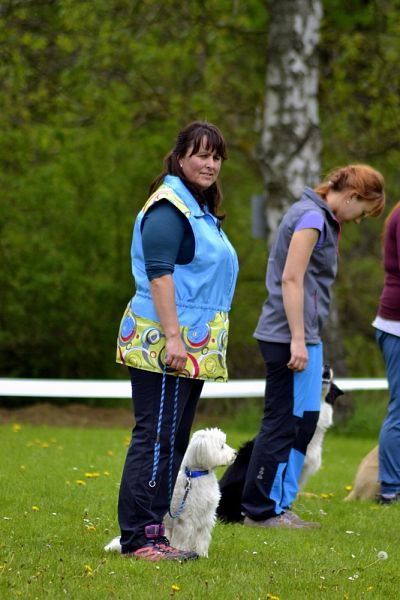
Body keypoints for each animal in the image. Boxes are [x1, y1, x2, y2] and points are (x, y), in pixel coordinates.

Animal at [103, 426, 236, 556]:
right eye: (222, 446)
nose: (235, 453)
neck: (196, 475)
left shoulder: (206, 517)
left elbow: (202, 538)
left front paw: (202, 554)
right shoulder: (186, 519)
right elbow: (185, 538)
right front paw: (184, 551)